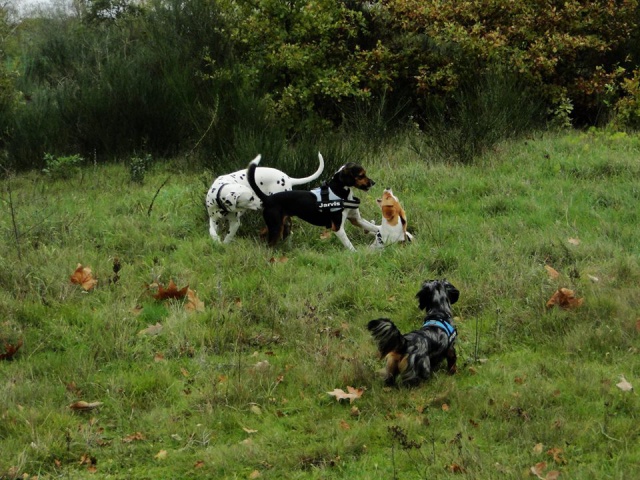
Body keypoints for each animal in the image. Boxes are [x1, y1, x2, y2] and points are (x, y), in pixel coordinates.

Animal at [246, 156, 380, 251]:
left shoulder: (357, 220)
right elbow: (349, 245)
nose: (373, 182)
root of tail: (268, 199)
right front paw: (356, 254)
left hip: (280, 224)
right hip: (276, 227)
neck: (340, 193)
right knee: (269, 245)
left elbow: (376, 228)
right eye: (361, 175)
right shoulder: (338, 228)